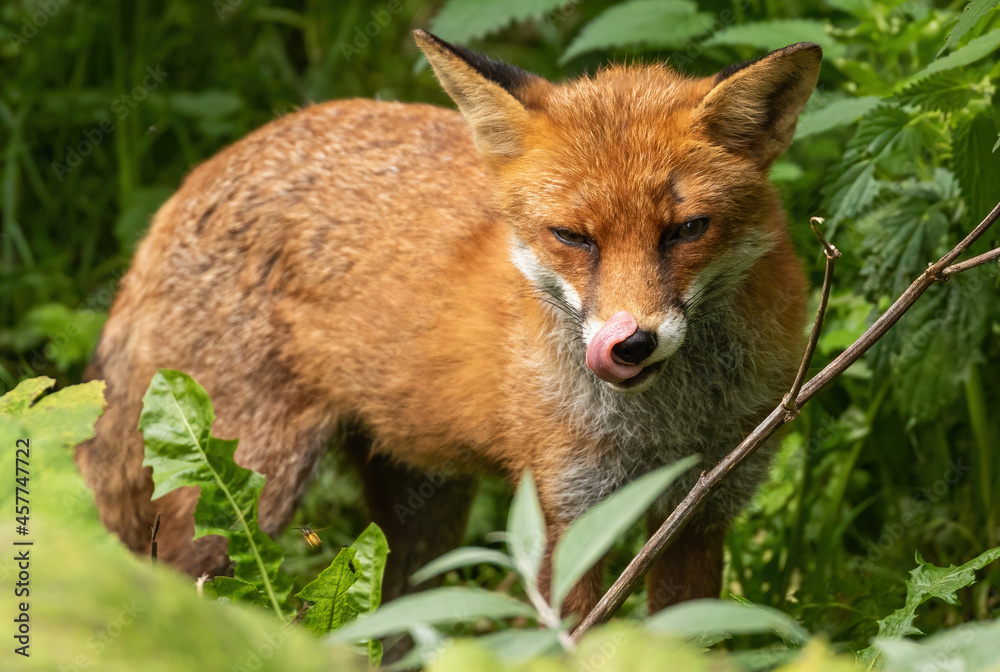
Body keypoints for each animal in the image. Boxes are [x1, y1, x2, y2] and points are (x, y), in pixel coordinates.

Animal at [78, 30, 820, 616]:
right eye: (572, 237)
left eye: (688, 230)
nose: (631, 343)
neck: (669, 424)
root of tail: (197, 178)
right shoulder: (569, 513)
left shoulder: (703, 512)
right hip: (243, 495)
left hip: (421, 507)